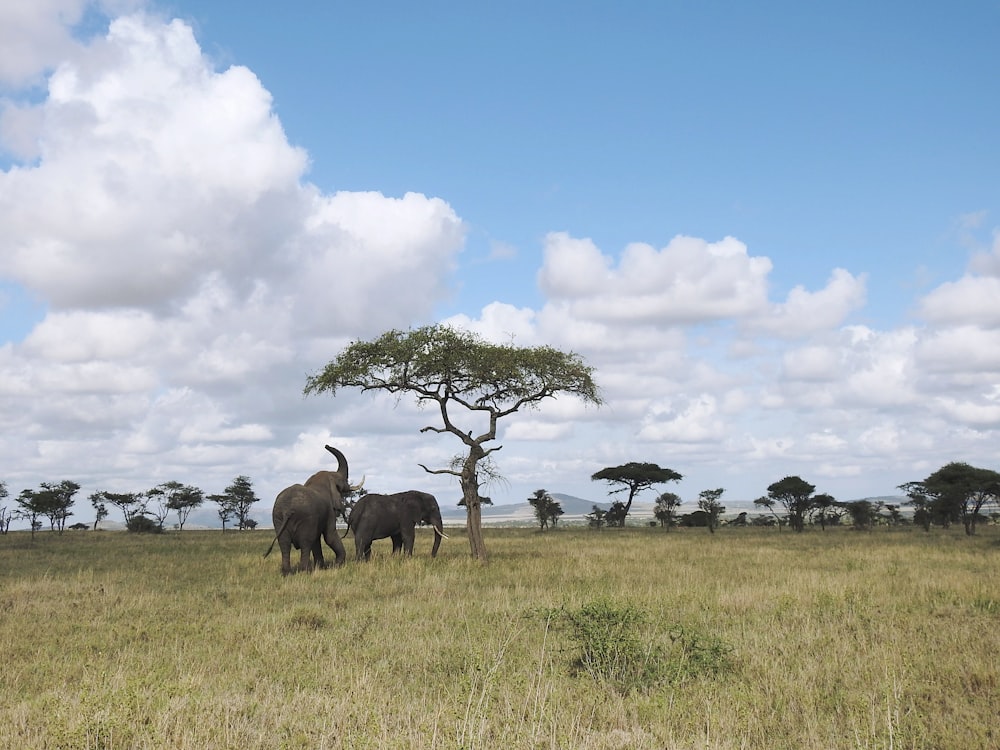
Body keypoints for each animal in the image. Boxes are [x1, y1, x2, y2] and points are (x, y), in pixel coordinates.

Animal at [262, 444, 364, 580]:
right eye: (342, 482)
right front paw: (337, 565)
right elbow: (329, 536)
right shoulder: (329, 511)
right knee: (306, 542)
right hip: (304, 517)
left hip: (277, 518)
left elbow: (317, 540)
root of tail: (288, 509)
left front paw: (321, 567)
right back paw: (305, 571)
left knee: (285, 544)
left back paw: (287, 573)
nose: (326, 445)